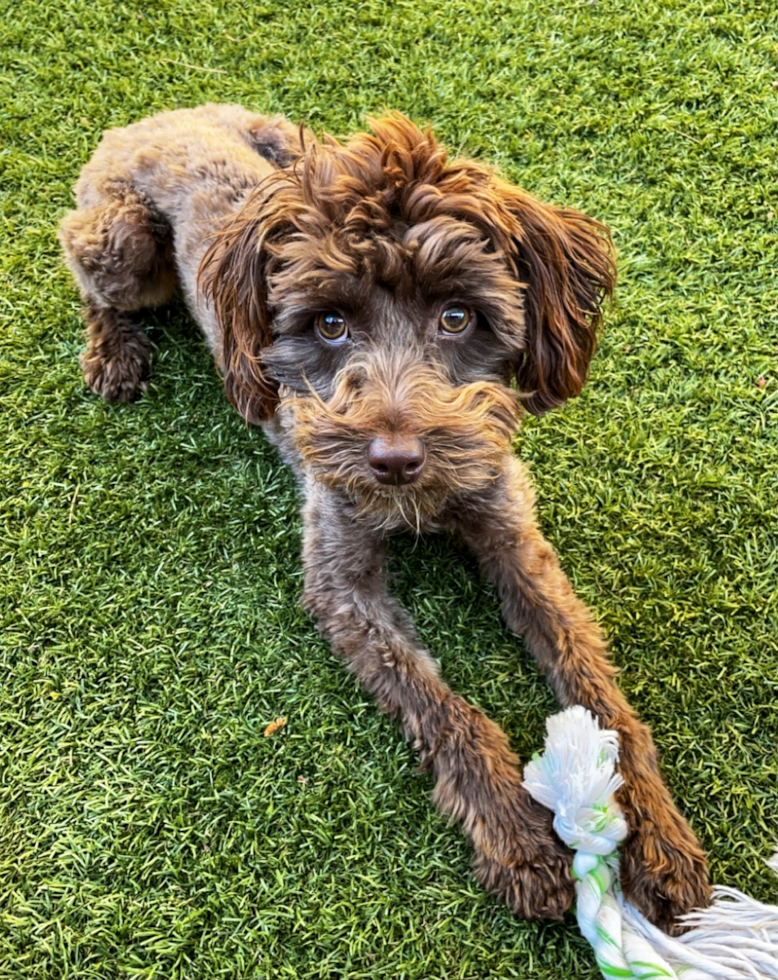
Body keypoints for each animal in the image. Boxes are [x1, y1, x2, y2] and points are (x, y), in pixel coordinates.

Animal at [59, 103, 708, 932]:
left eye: (458, 317)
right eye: (330, 324)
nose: (395, 459)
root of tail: (159, 115)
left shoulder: (513, 535)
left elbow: (593, 680)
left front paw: (659, 836)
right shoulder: (342, 586)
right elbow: (442, 708)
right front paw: (517, 841)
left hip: (290, 140)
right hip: (122, 244)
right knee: (89, 276)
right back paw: (113, 354)